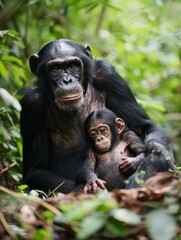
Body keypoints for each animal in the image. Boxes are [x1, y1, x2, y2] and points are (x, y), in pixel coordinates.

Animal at [20, 38, 177, 194]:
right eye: (55, 69)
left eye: (72, 66)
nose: (67, 81)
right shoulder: (31, 104)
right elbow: (35, 170)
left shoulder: (108, 74)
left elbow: (144, 128)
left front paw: (159, 155)